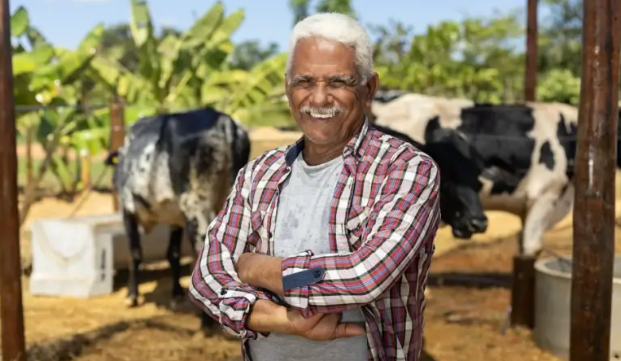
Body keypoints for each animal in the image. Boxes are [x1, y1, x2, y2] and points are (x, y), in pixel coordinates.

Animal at [103, 106, 249, 330]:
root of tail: (224, 121)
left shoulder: (128, 211)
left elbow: (135, 254)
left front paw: (131, 296)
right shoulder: (175, 220)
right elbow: (172, 254)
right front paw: (176, 294)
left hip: (196, 206)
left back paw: (205, 320)